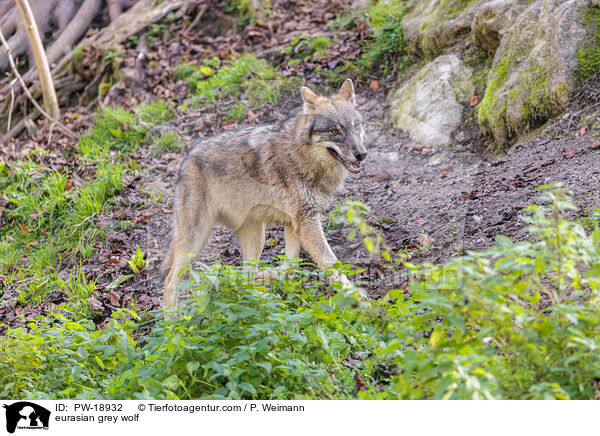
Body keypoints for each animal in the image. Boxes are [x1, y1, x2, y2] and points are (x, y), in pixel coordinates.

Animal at [161, 79, 366, 306]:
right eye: (334, 132)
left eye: (355, 126)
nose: (362, 154)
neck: (302, 157)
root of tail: (186, 160)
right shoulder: (306, 223)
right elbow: (331, 263)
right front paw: (358, 297)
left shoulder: (293, 223)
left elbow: (291, 264)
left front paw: (275, 275)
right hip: (197, 240)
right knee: (171, 281)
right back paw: (171, 316)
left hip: (255, 235)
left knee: (245, 276)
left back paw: (264, 293)